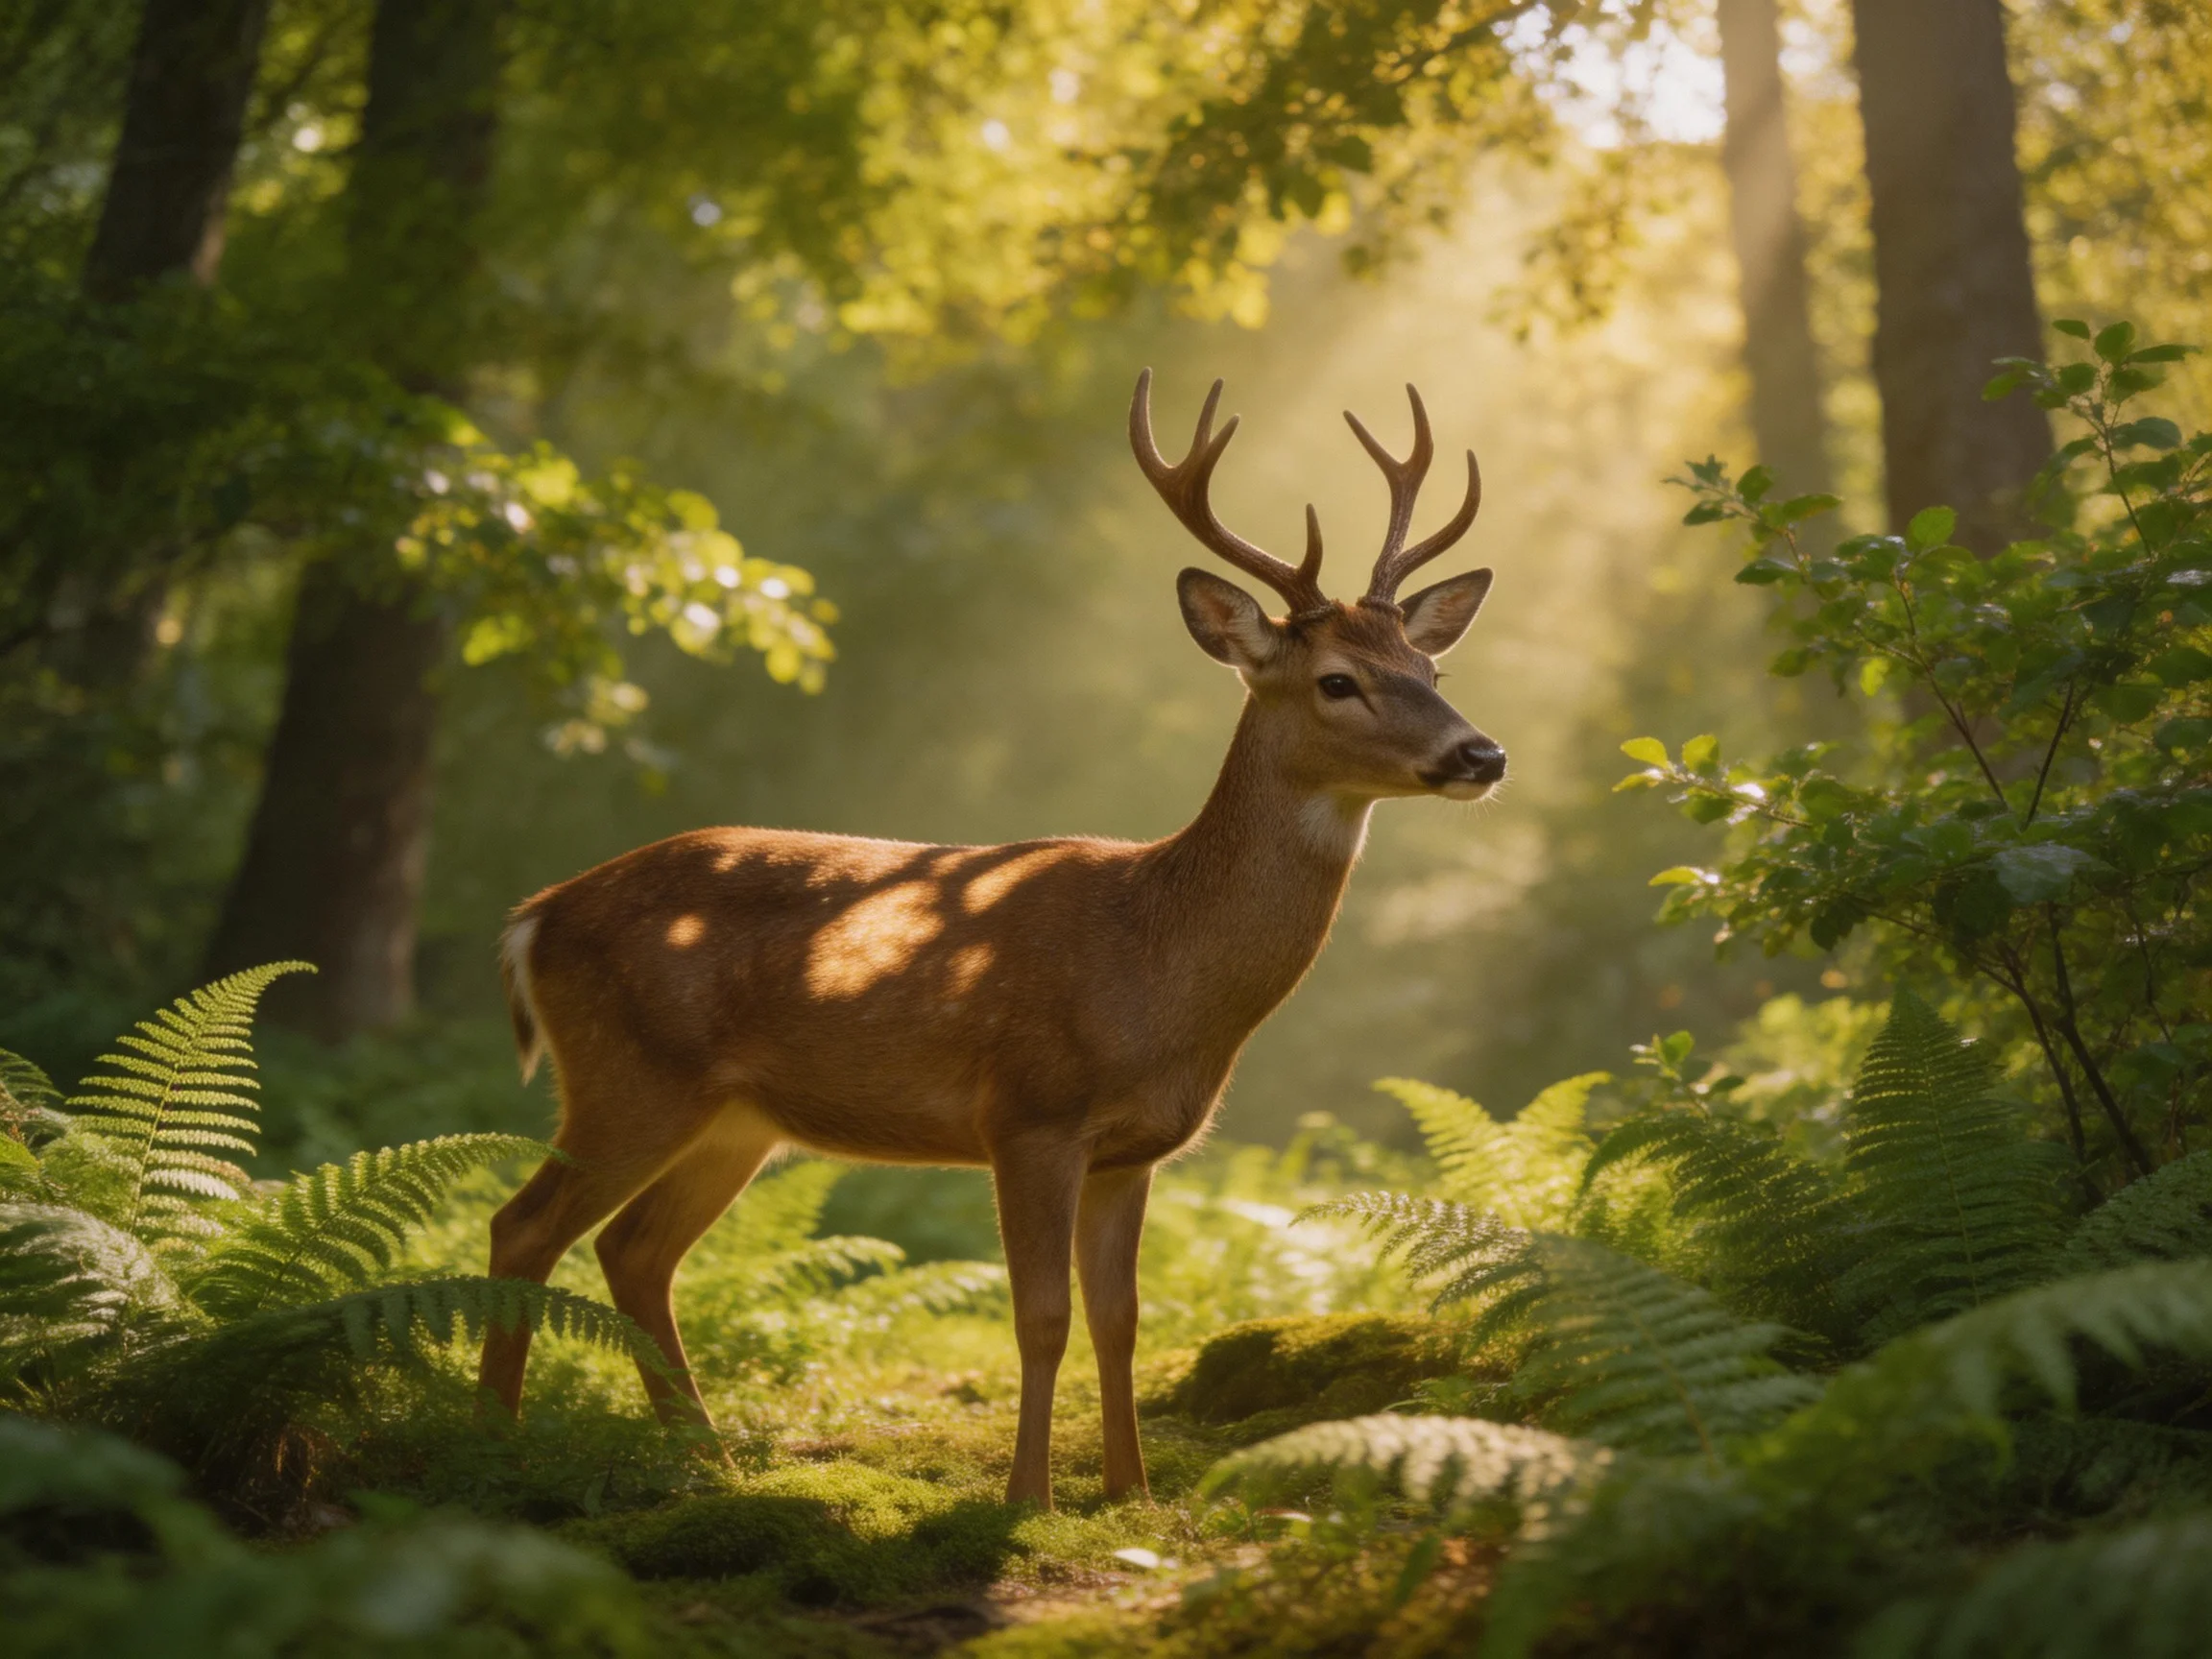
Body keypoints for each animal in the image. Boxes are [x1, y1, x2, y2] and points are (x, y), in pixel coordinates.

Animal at [478, 370, 1506, 1509]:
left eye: (1430, 666)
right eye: (1336, 680)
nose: (1482, 754)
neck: (1158, 967)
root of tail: (534, 916)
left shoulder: (1135, 1151)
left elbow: (1122, 1320)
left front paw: (1129, 1493)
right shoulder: (1028, 1113)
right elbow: (1041, 1316)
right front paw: (1027, 1498)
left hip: (732, 1116)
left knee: (634, 1250)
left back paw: (705, 1460)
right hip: (627, 1076)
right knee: (525, 1226)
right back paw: (490, 1442)